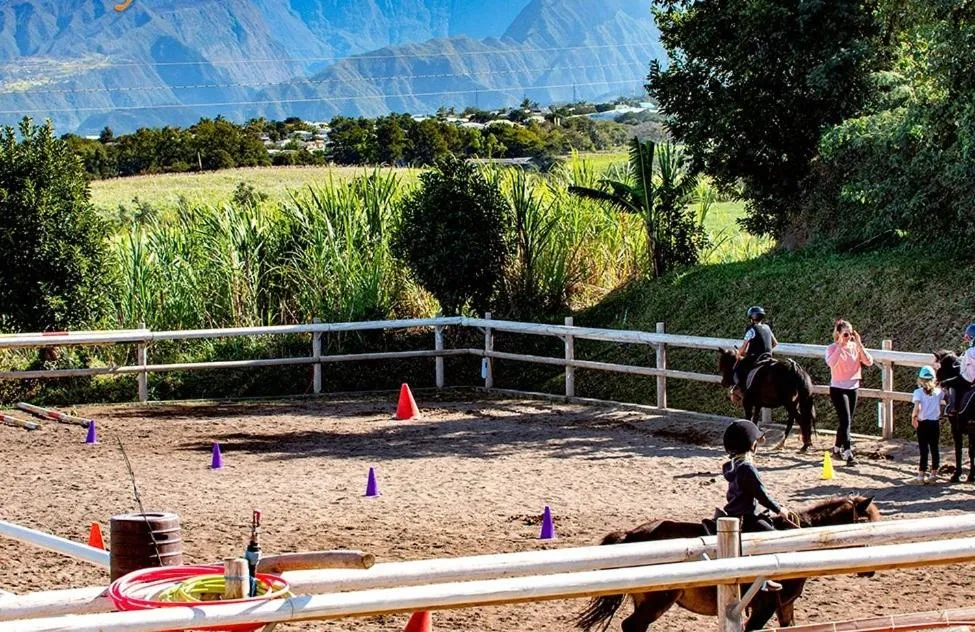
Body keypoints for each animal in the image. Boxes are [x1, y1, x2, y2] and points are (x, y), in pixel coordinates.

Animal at [576, 495, 880, 632]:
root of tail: (633, 534)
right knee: (633, 626)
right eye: (867, 521)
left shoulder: (784, 604)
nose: (871, 570)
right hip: (658, 600)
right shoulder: (763, 607)